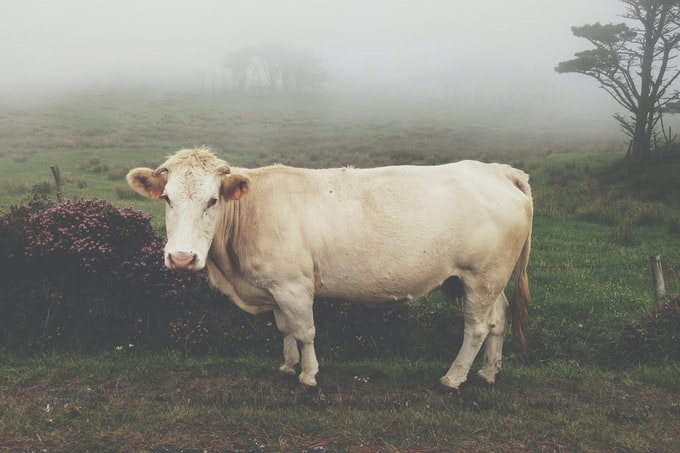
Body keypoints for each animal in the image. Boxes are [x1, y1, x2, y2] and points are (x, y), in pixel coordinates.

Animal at [126, 147, 532, 388]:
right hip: (479, 281)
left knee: (476, 327)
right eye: (167, 198)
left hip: (482, 276)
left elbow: (305, 331)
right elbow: (285, 328)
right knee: (498, 318)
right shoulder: (277, 288)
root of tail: (498, 170)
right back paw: (488, 372)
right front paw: (288, 366)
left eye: (212, 200)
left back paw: (454, 377)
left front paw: (308, 375)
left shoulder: (293, 287)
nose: (181, 258)